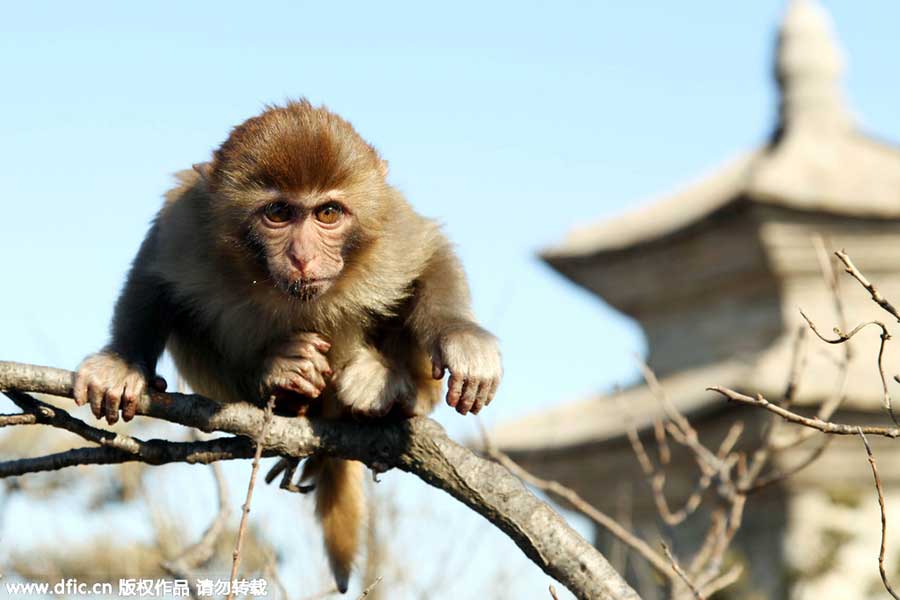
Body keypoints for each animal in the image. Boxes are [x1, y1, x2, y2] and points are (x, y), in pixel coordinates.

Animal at [72, 100, 502, 593]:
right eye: (278, 213)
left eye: (328, 214)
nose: (302, 257)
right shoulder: (187, 224)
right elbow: (153, 275)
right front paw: (122, 363)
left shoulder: (389, 228)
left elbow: (430, 255)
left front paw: (461, 337)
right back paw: (281, 378)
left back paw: (388, 390)